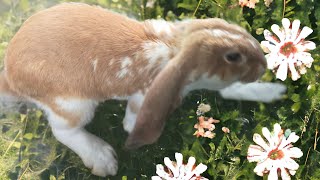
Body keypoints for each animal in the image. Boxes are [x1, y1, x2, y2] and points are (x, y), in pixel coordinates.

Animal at [0, 2, 284, 177]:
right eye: (233, 56)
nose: (263, 65)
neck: (175, 47)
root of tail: (11, 76)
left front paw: (273, 91)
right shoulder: (143, 96)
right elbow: (133, 119)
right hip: (73, 104)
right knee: (64, 131)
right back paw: (103, 158)